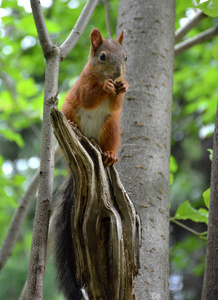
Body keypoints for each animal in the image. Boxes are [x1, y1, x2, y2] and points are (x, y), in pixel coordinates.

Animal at [61, 28, 129, 166]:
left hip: (112, 125)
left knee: (109, 143)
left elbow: (115, 106)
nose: (118, 73)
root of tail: (89, 136)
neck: (103, 77)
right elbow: (87, 98)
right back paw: (71, 123)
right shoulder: (83, 83)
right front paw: (106, 86)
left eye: (125, 57)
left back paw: (110, 154)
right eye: (102, 56)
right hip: (69, 110)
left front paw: (124, 85)